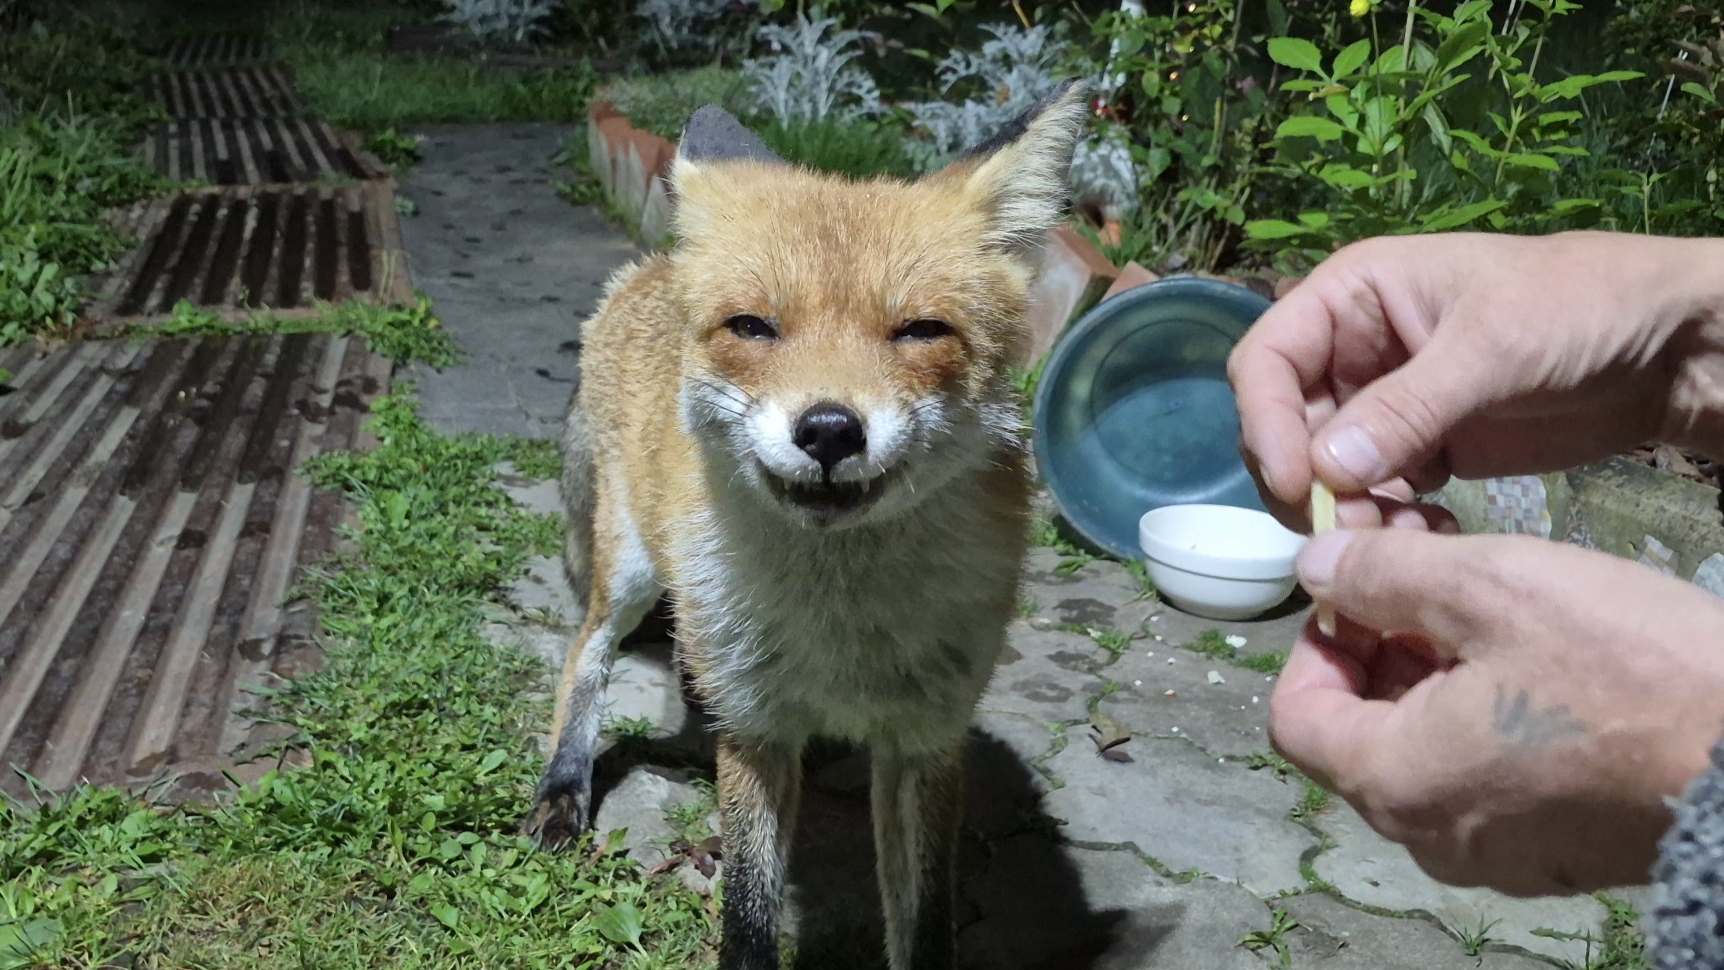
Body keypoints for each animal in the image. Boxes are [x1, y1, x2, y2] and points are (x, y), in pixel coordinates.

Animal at [527, 79, 1091, 970]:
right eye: (754, 327)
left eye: (920, 331)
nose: (828, 431)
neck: (839, 629)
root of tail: (650, 268)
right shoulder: (757, 735)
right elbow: (749, 916)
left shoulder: (925, 741)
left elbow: (925, 923)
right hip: (629, 571)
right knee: (587, 655)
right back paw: (563, 786)